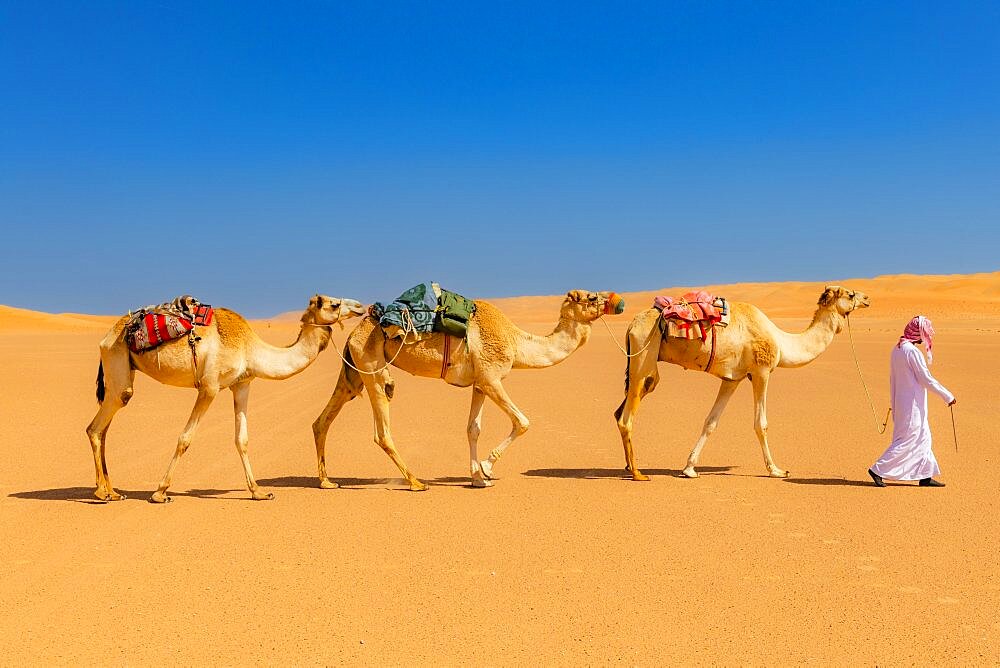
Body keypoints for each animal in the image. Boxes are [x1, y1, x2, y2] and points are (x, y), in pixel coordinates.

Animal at [87, 294, 364, 504]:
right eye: (334, 304)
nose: (360, 307)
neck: (251, 348)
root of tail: (107, 335)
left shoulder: (242, 384)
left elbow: (242, 440)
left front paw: (259, 492)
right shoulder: (209, 387)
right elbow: (185, 439)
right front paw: (160, 493)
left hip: (123, 370)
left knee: (104, 428)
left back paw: (111, 491)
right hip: (117, 360)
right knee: (97, 426)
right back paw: (102, 493)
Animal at [312, 290, 616, 488]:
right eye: (591, 297)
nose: (614, 302)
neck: (515, 342)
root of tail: (353, 333)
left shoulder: (479, 384)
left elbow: (473, 429)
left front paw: (477, 478)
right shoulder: (493, 378)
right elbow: (523, 422)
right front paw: (487, 468)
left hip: (354, 373)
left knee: (322, 421)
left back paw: (327, 481)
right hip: (373, 368)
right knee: (382, 433)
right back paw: (415, 482)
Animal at [608, 288, 868, 480]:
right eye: (850, 294)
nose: (867, 299)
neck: (781, 342)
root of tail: (631, 326)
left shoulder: (732, 379)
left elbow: (711, 422)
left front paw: (689, 468)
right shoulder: (762, 371)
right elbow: (761, 424)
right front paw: (776, 470)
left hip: (640, 366)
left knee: (620, 411)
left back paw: (628, 466)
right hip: (644, 357)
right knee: (626, 417)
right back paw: (638, 473)